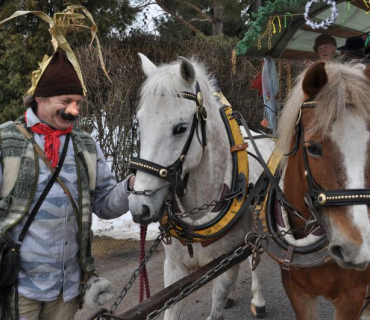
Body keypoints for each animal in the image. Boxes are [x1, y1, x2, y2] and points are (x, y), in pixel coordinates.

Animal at [128, 53, 274, 318]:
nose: (139, 206)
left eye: (180, 128)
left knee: (254, 257)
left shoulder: (225, 266)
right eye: (140, 123)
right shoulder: (174, 268)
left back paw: (258, 300)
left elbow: (216, 308)